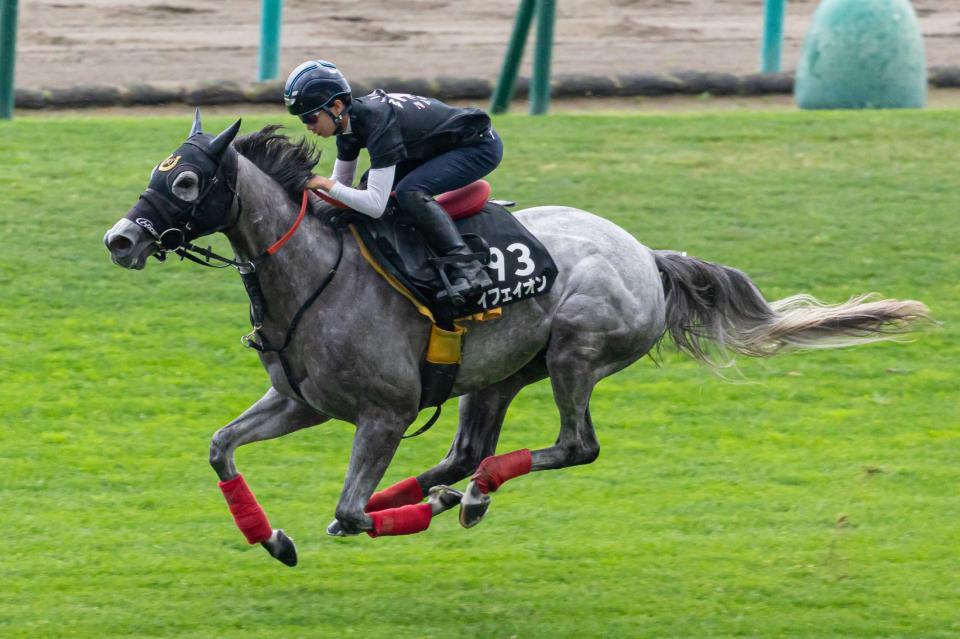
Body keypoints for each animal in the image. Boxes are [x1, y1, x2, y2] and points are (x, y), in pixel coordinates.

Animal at [101, 115, 928, 564]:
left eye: (184, 183)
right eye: (157, 170)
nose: (120, 239)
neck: (316, 271)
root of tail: (650, 256)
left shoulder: (385, 412)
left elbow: (351, 509)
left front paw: (379, 516)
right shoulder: (300, 401)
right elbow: (221, 447)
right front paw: (270, 536)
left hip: (573, 351)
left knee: (572, 445)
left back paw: (469, 495)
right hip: (497, 374)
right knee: (467, 449)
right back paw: (450, 489)